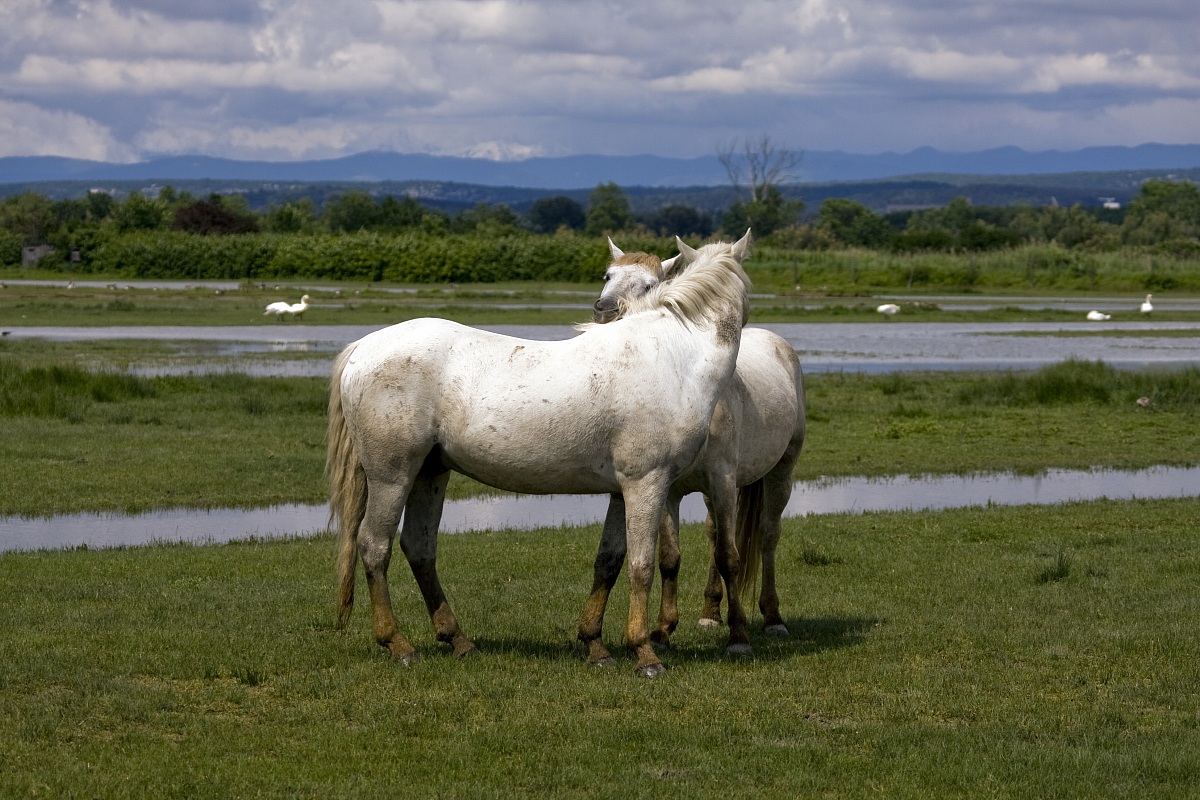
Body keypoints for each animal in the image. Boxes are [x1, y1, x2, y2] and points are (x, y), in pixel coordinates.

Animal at [327, 231, 753, 678]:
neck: (672, 354)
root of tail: (363, 347)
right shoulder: (647, 482)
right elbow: (641, 565)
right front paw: (644, 653)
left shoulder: (621, 491)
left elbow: (609, 561)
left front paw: (595, 645)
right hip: (392, 475)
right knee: (374, 545)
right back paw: (398, 644)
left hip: (430, 472)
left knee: (420, 548)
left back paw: (458, 640)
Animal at [593, 237, 806, 645]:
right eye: (608, 276)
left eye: (650, 284)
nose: (604, 309)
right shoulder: (668, 487)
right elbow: (670, 557)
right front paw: (663, 630)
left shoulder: (722, 479)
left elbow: (729, 555)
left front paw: (738, 635)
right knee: (714, 534)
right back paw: (710, 612)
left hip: (780, 472)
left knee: (767, 535)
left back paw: (773, 616)